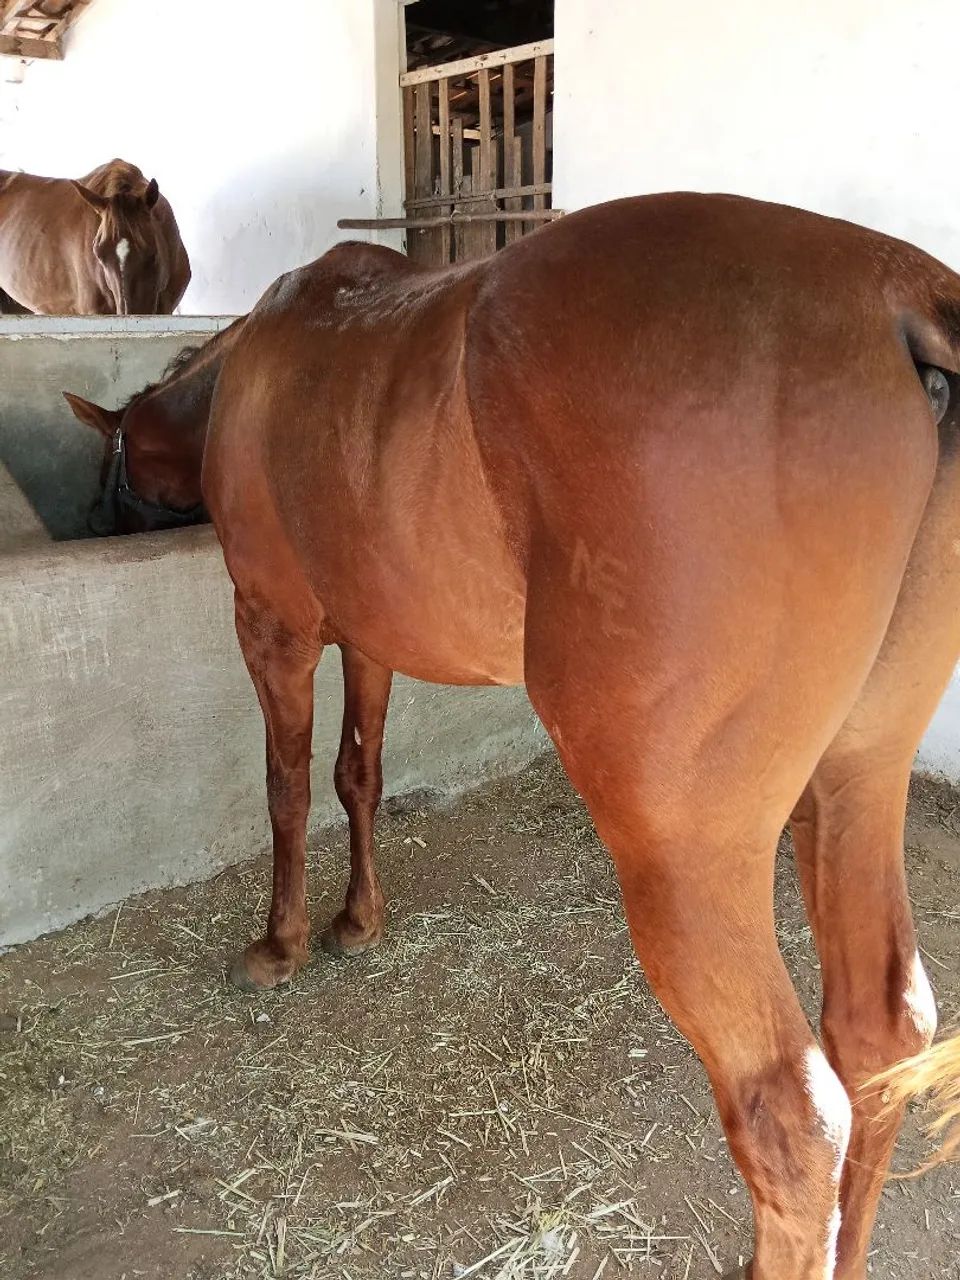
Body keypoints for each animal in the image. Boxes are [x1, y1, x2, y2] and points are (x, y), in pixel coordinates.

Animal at [81, 192, 959, 1279]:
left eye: (110, 468)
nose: (97, 522)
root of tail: (897, 296)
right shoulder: (369, 640)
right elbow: (358, 774)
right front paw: (357, 919)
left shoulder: (273, 627)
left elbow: (287, 786)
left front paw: (281, 940)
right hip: (857, 781)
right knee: (882, 1038)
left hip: (690, 858)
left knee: (793, 1125)